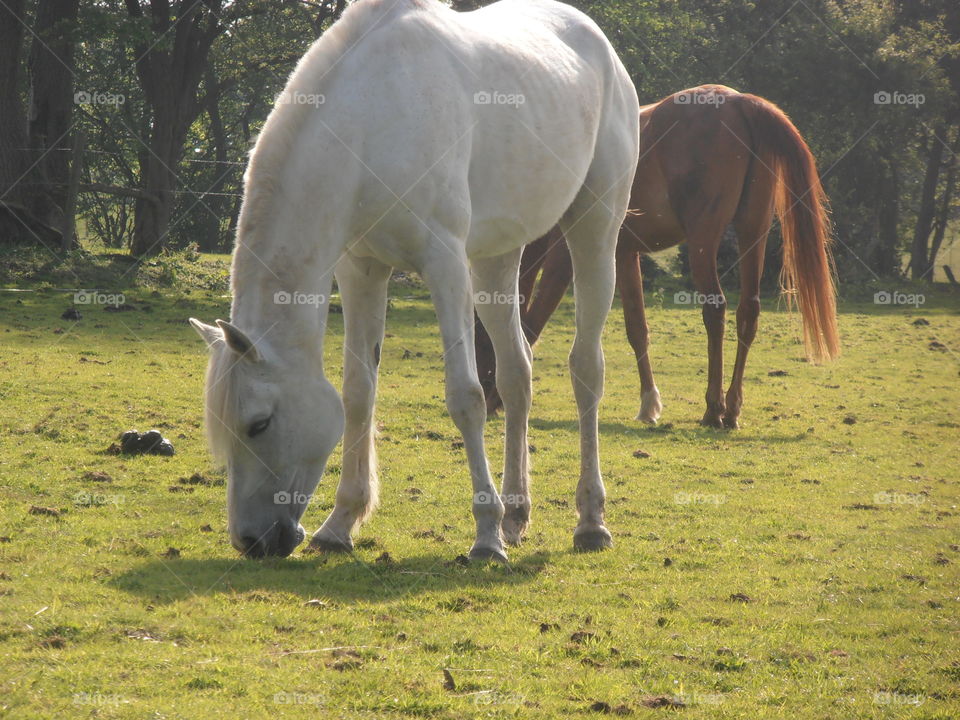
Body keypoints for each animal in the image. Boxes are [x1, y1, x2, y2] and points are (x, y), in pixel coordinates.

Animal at [189, 0, 636, 564]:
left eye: (259, 424)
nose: (251, 542)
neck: (370, 121)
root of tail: (598, 41)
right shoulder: (361, 270)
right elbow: (358, 393)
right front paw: (340, 524)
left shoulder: (444, 263)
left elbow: (466, 397)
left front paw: (485, 537)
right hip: (496, 260)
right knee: (517, 373)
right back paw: (517, 515)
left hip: (595, 230)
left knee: (585, 370)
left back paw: (590, 522)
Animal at [476, 87, 836, 430]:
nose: (484, 390)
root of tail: (738, 102)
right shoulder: (624, 255)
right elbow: (637, 327)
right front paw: (649, 404)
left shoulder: (566, 256)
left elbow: (533, 320)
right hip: (752, 232)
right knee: (748, 310)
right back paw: (732, 408)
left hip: (703, 239)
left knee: (715, 309)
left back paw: (714, 408)